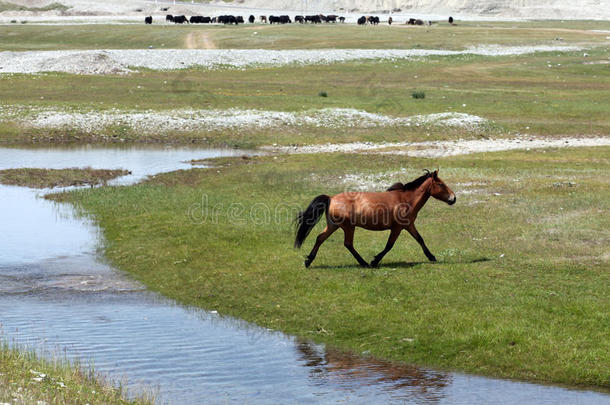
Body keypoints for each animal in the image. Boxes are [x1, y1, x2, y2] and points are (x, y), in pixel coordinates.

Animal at [292, 169, 454, 266]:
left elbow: (420, 239)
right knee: (348, 244)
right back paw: (364, 263)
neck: (406, 199)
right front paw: (375, 261)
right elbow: (389, 245)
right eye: (441, 184)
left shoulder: (408, 225)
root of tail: (331, 198)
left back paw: (308, 261)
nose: (454, 198)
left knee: (320, 238)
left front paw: (431, 257)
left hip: (333, 225)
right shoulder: (397, 228)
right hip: (348, 227)